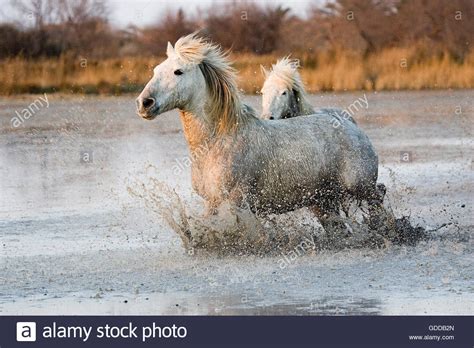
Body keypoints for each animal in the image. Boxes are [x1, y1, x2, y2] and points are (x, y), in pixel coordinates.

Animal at [135, 34, 384, 232]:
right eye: (156, 70)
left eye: (178, 71)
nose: (144, 103)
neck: (216, 142)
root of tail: (353, 127)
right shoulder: (211, 202)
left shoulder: (235, 202)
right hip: (323, 200)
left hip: (360, 187)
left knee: (378, 196)